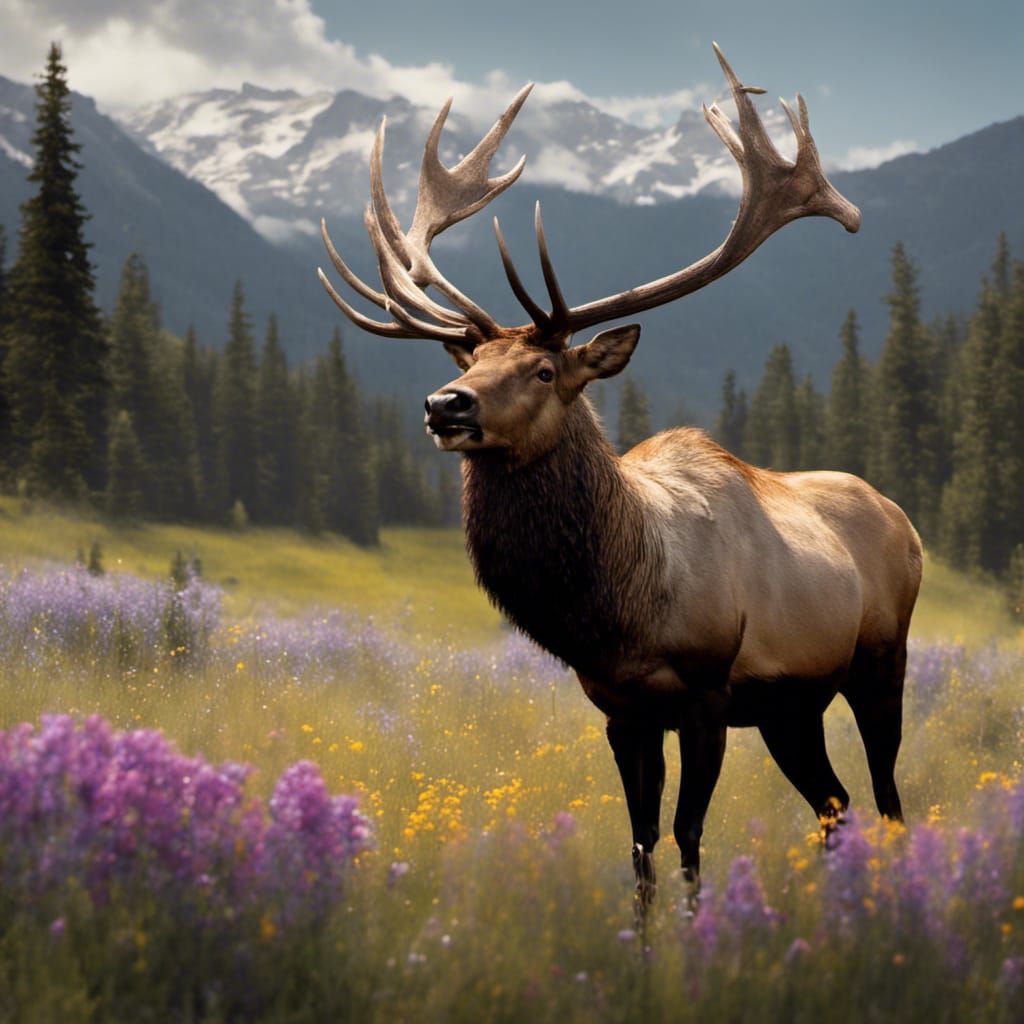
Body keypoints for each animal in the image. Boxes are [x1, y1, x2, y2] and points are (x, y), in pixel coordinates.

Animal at [317, 45, 922, 913]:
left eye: (541, 370)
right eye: (472, 360)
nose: (444, 404)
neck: (621, 609)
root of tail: (905, 521)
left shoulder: (708, 693)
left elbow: (690, 835)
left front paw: (700, 933)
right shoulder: (619, 707)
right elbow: (639, 843)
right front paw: (644, 936)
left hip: (880, 660)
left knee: (889, 799)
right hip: (791, 707)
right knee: (836, 803)